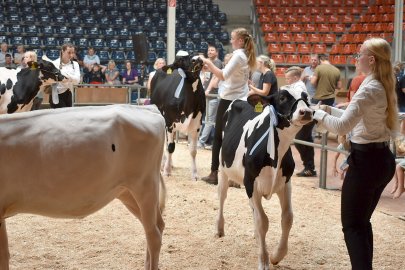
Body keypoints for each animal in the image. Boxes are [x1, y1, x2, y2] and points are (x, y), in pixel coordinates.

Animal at [150, 51, 205, 180]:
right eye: (180, 60)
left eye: (196, 54)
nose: (197, 59)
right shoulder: (169, 122)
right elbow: (171, 147)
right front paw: (166, 171)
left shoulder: (197, 125)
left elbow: (193, 150)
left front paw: (194, 174)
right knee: (166, 144)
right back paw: (164, 164)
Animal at [215, 87, 312, 268]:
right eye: (282, 97)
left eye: (306, 97)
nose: (307, 112)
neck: (275, 154)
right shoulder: (251, 183)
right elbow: (262, 221)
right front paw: (264, 261)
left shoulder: (285, 183)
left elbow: (287, 218)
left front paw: (276, 256)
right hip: (223, 168)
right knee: (222, 196)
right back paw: (219, 228)